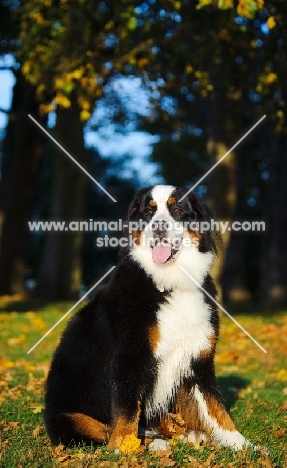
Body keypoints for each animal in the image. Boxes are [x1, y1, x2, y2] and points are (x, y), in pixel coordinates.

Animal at [44, 185, 251, 452]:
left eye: (177, 210)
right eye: (148, 212)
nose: (159, 226)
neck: (169, 282)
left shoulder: (199, 359)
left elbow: (215, 407)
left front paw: (243, 445)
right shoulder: (129, 356)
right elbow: (127, 410)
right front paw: (123, 448)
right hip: (70, 419)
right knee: (105, 431)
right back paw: (155, 444)